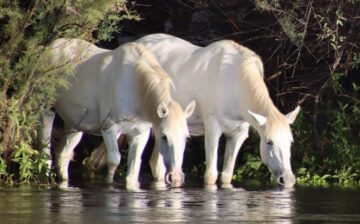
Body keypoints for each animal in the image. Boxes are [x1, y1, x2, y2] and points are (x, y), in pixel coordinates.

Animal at [39, 38, 195, 187]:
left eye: (186, 138)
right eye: (164, 136)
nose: (175, 177)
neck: (135, 87)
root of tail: (48, 48)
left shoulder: (140, 134)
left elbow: (133, 171)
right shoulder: (109, 128)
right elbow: (114, 160)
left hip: (74, 123)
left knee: (63, 155)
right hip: (46, 111)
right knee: (45, 153)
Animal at [88, 33, 300, 187]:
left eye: (290, 142)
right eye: (269, 142)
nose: (288, 179)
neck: (235, 81)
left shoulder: (238, 133)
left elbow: (226, 176)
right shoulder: (213, 128)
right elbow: (211, 175)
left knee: (156, 164)